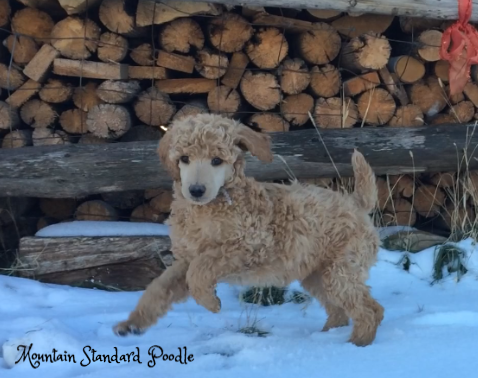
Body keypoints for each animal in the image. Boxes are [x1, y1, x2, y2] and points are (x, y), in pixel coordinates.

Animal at [113, 112, 384, 346]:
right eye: (184, 159)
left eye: (216, 161)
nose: (196, 190)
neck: (208, 210)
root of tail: (357, 203)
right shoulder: (185, 260)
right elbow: (159, 288)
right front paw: (132, 324)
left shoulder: (248, 246)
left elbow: (201, 270)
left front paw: (211, 303)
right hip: (317, 273)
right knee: (340, 310)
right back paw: (326, 336)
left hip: (342, 268)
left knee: (370, 309)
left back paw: (356, 344)